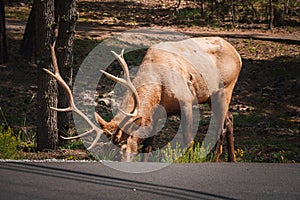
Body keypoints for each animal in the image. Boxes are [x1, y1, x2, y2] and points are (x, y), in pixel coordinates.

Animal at [45, 36, 243, 162]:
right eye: (108, 148)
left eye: (123, 146)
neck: (159, 87)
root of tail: (238, 54)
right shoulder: (155, 113)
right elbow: (148, 144)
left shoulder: (186, 101)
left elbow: (188, 139)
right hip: (211, 96)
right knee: (229, 119)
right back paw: (232, 159)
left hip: (225, 89)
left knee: (220, 127)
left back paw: (215, 159)